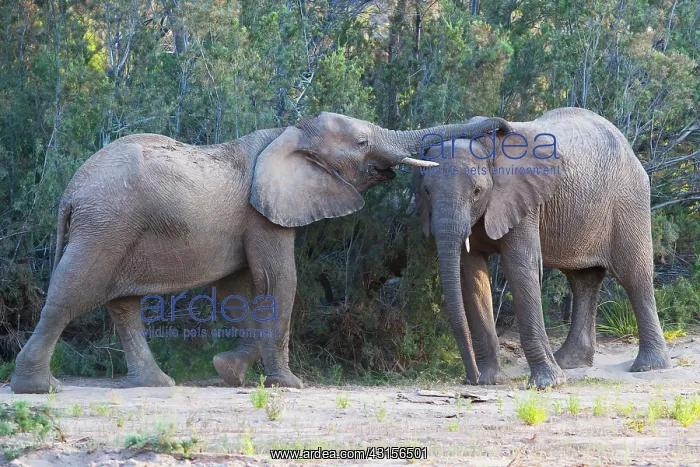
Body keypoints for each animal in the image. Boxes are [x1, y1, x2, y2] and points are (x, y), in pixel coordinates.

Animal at [10, 112, 512, 393]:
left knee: (123, 305)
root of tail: (69, 193)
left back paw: (155, 383)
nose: (503, 126)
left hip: (114, 227)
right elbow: (279, 279)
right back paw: (39, 388)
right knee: (74, 292)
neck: (287, 134)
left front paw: (228, 371)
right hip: (106, 225)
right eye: (363, 143)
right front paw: (288, 385)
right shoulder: (264, 214)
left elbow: (242, 290)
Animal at [412, 107, 671, 388]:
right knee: (583, 280)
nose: (472, 378)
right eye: (426, 190)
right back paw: (570, 362)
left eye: (477, 191)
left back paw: (648, 366)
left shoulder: (523, 198)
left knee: (633, 276)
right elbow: (471, 276)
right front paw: (489, 381)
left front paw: (547, 384)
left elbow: (519, 267)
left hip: (629, 199)